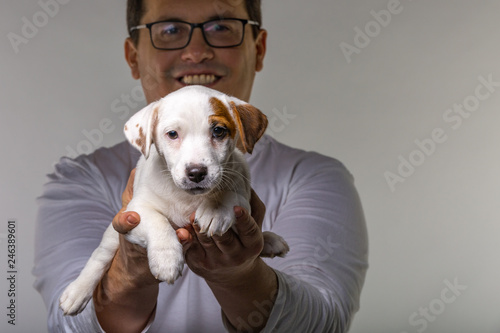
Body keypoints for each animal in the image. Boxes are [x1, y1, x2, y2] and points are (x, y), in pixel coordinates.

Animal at [59, 85, 290, 314]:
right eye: (172, 134)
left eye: (218, 131)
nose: (196, 173)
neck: (185, 197)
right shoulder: (136, 208)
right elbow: (157, 221)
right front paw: (166, 258)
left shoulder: (242, 195)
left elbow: (229, 195)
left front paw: (215, 209)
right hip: (111, 237)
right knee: (100, 256)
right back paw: (77, 291)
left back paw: (270, 241)